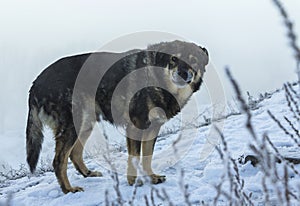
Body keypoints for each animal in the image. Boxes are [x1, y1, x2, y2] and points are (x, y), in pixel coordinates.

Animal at [26, 40, 209, 193]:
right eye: (173, 59)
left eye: (193, 61)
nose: (183, 74)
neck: (156, 79)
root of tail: (35, 83)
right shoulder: (136, 127)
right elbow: (134, 157)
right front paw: (133, 181)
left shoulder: (153, 128)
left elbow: (147, 157)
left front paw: (151, 177)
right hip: (72, 126)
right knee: (59, 161)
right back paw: (68, 190)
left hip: (85, 124)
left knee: (74, 154)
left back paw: (88, 173)